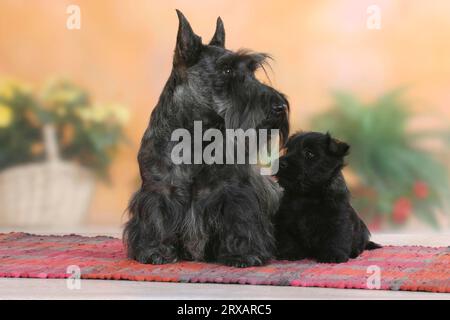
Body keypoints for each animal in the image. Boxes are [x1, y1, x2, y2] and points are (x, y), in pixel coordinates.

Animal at [274, 131, 380, 262]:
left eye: (309, 153)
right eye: (288, 150)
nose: (280, 163)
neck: (308, 195)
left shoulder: (338, 220)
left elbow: (336, 238)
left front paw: (333, 255)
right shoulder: (286, 220)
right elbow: (288, 238)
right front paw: (290, 253)